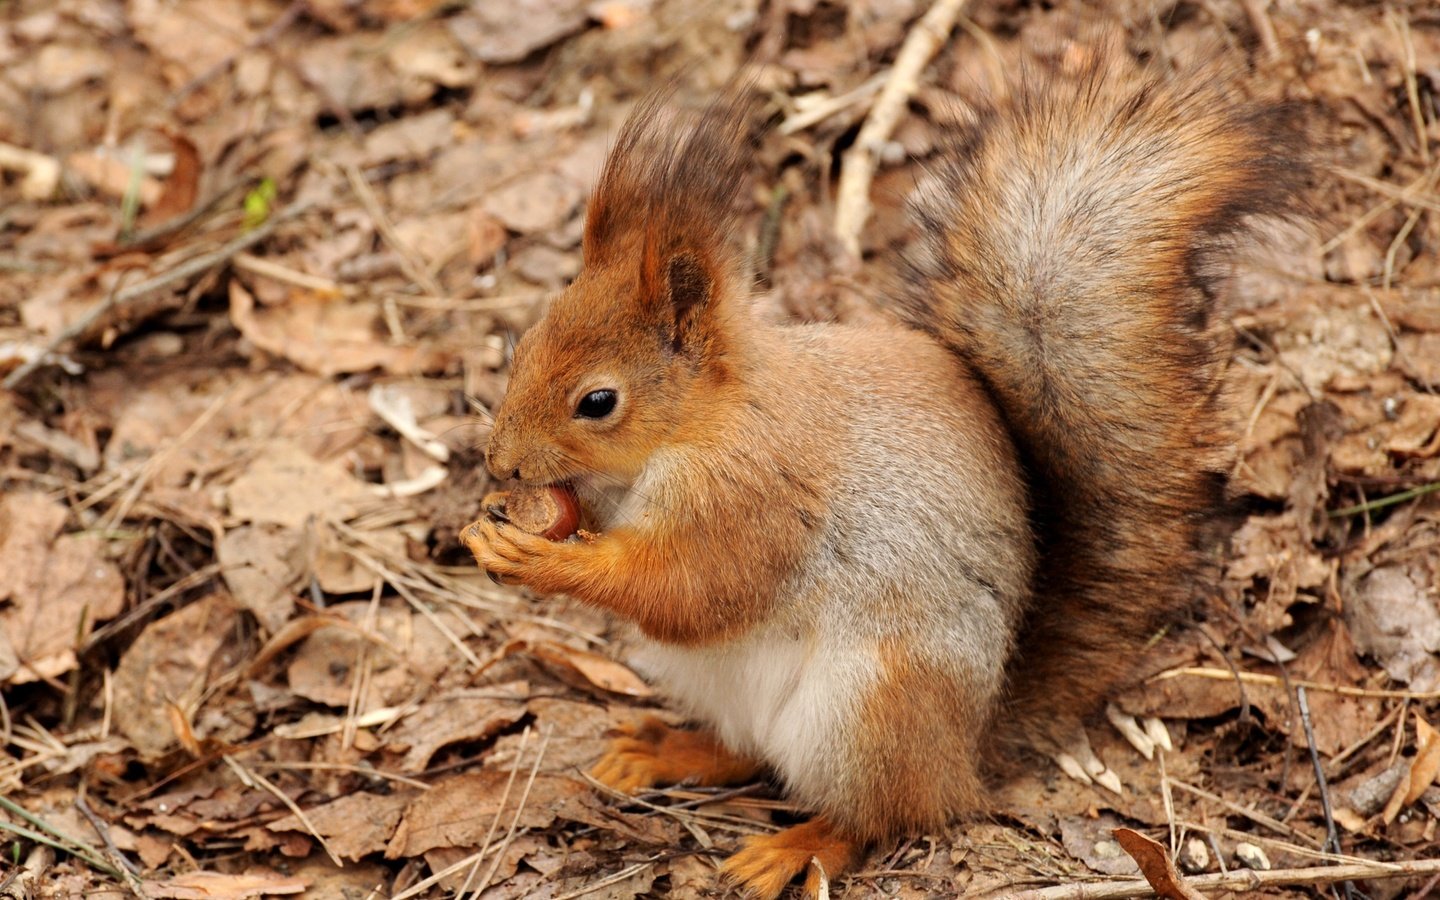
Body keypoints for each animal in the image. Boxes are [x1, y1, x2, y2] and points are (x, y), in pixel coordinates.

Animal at [466, 42, 1313, 898]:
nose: (498, 460)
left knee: (884, 815)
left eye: (598, 401)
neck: (697, 429)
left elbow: (692, 589)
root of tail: (965, 754)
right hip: (730, 690)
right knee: (750, 753)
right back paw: (667, 751)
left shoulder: (755, 497)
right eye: (523, 344)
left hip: (868, 710)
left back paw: (795, 847)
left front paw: (541, 558)